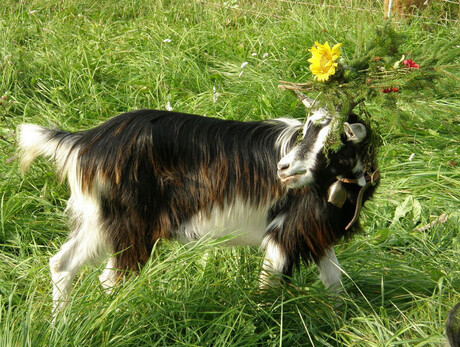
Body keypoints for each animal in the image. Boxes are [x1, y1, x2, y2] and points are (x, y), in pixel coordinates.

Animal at [17, 101, 378, 312]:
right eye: (307, 130)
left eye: (334, 142)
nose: (284, 168)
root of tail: (85, 141)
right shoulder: (284, 232)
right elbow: (269, 284)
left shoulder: (315, 231)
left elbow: (334, 282)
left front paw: (340, 321)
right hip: (123, 223)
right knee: (107, 276)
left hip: (100, 220)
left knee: (63, 264)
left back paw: (63, 324)